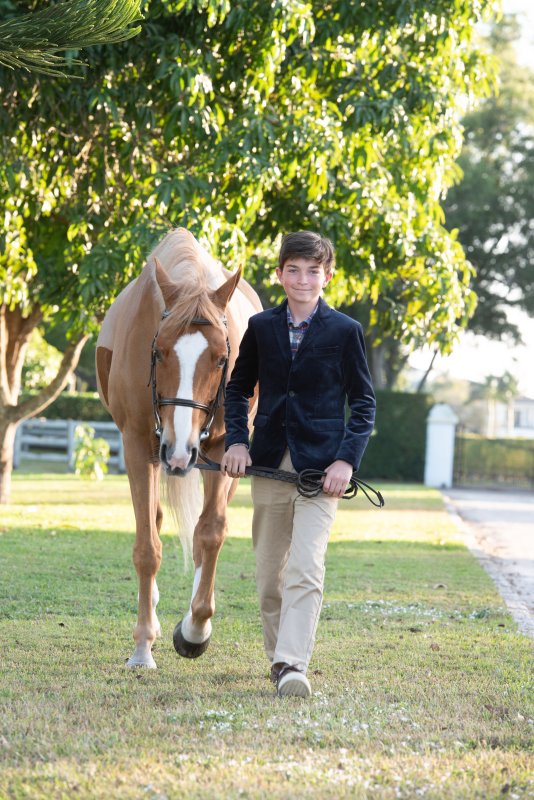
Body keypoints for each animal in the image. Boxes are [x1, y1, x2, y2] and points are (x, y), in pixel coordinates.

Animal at [95, 228, 262, 668]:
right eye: (158, 352)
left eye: (222, 359)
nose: (179, 448)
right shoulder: (138, 445)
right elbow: (146, 548)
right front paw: (142, 644)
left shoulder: (223, 449)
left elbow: (211, 534)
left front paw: (195, 629)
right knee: (152, 522)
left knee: (204, 535)